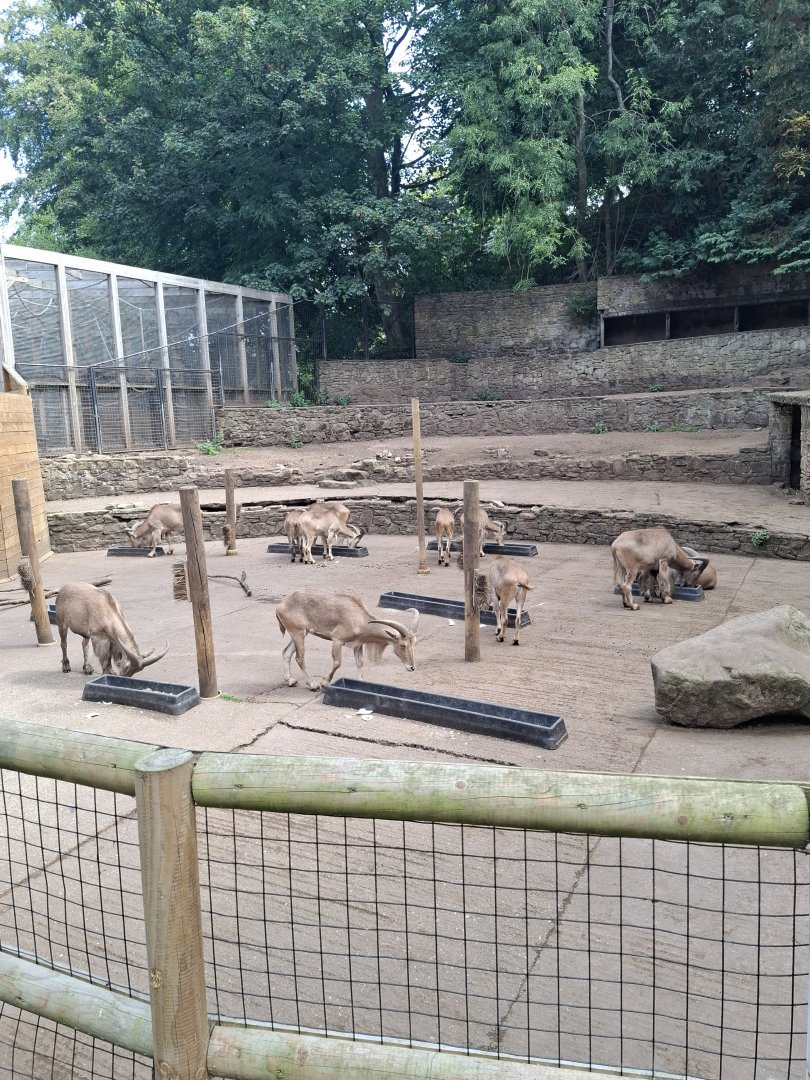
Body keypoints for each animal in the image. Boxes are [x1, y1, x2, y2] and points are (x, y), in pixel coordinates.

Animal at [275, 588, 419, 690]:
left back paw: (291, 680)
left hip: (300, 633)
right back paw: (312, 684)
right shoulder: (337, 640)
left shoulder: (358, 645)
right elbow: (337, 663)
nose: (412, 667)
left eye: (414, 643)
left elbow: (360, 662)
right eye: (403, 645)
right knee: (300, 658)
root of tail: (281, 605)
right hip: (298, 633)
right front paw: (324, 682)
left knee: (286, 652)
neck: (360, 620)